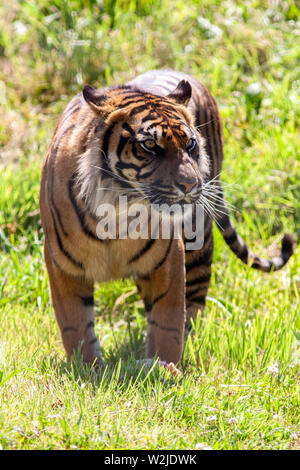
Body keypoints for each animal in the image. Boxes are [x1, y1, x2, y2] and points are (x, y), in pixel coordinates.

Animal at [39, 70, 296, 370]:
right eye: (150, 145)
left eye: (190, 144)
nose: (192, 184)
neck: (119, 208)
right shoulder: (62, 265)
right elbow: (76, 326)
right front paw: (88, 368)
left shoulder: (168, 259)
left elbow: (167, 322)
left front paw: (165, 366)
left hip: (198, 243)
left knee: (194, 303)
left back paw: (191, 342)